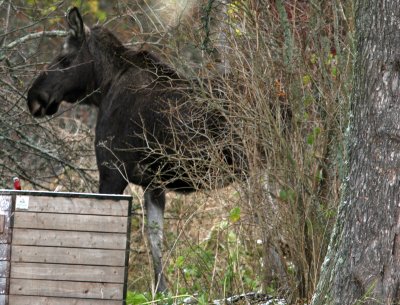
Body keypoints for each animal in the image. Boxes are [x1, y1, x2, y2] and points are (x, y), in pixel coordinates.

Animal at [26, 7, 244, 292]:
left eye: (64, 59)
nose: (33, 97)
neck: (103, 87)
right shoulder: (153, 183)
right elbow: (155, 238)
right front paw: (162, 291)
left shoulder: (112, 172)